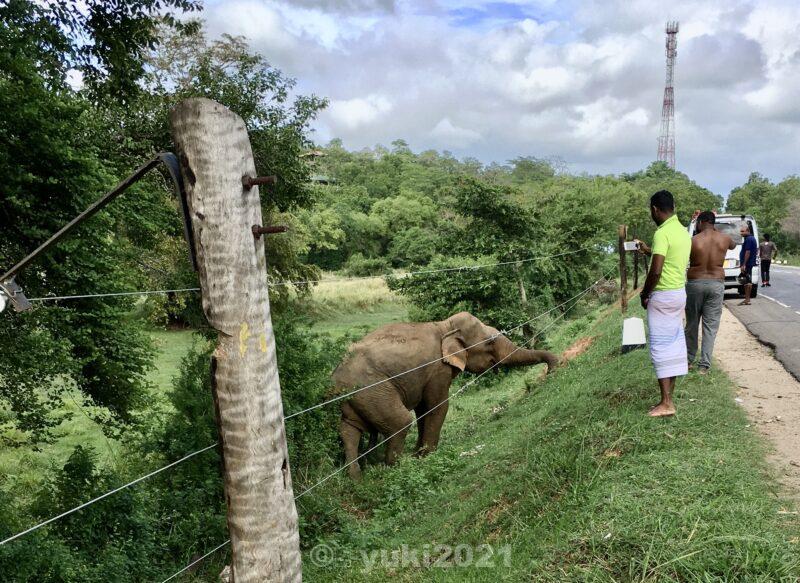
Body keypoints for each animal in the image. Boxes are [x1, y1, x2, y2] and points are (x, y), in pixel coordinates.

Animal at [332, 310, 556, 480]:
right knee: (400, 422)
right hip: (373, 392)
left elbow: (423, 410)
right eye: (490, 342)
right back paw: (395, 471)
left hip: (355, 400)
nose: (553, 369)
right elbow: (437, 406)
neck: (444, 326)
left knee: (349, 430)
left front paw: (418, 453)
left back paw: (357, 479)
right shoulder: (437, 369)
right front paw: (426, 458)